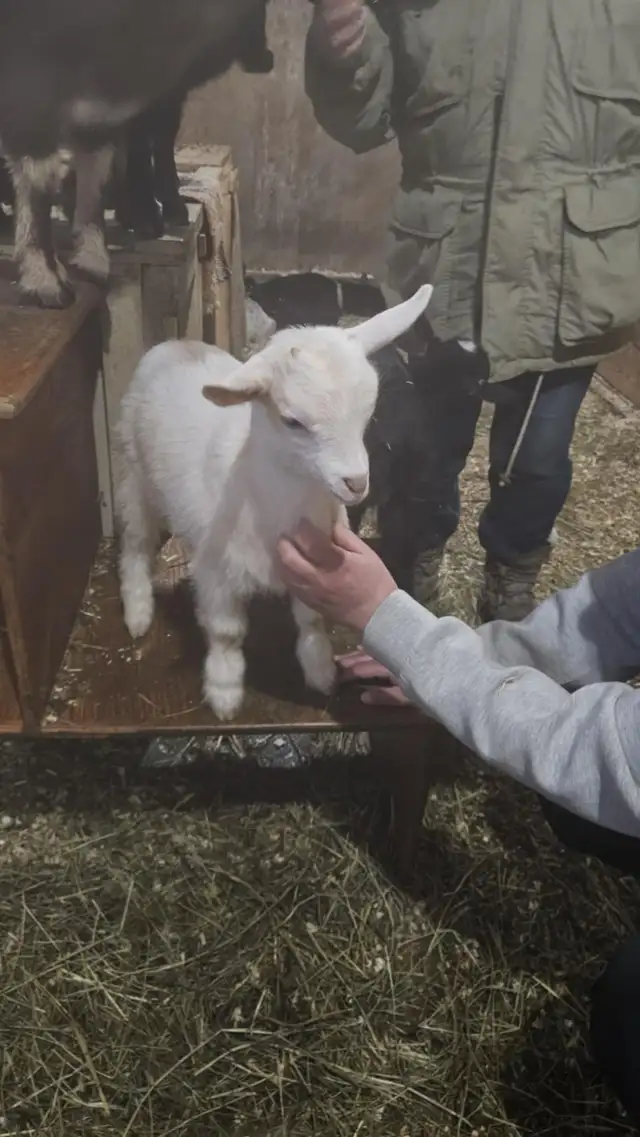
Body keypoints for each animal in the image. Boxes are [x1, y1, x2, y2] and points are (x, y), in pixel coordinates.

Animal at [0, 0, 272, 307]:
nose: (263, 59)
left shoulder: (106, 101)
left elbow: (97, 170)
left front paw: (92, 260)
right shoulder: (31, 75)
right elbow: (39, 179)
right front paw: (45, 280)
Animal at [115, 284, 433, 721]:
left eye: (369, 412)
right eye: (292, 421)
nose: (355, 483)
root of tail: (175, 344)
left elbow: (312, 621)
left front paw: (320, 672)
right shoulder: (217, 570)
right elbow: (226, 634)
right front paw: (225, 692)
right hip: (133, 472)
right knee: (135, 542)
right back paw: (138, 611)